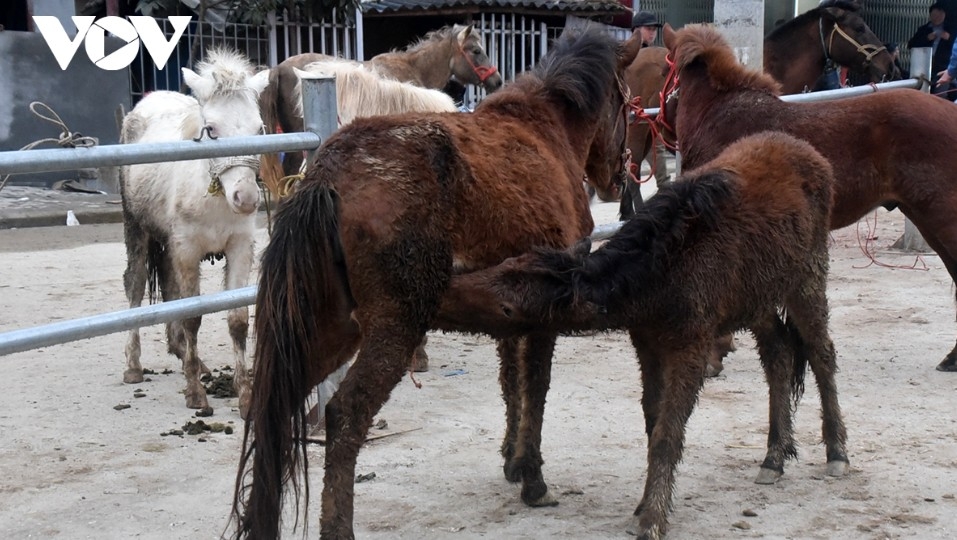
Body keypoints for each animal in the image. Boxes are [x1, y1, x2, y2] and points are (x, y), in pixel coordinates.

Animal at [119, 49, 269, 417]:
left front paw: (244, 396)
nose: (246, 199)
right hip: (137, 228)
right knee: (136, 284)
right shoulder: (186, 248)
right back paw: (134, 365)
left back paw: (190, 358)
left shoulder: (239, 247)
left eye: (259, 128)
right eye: (211, 130)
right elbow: (192, 316)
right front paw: (196, 395)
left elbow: (237, 320)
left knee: (168, 283)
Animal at [439, 131, 846, 540]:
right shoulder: (647, 343)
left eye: (505, 307)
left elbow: (668, 435)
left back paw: (836, 451)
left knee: (821, 353)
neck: (655, 278)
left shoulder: (691, 346)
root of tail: (813, 157)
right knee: (779, 353)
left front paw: (652, 517)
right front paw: (645, 503)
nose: (447, 287)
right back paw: (775, 455)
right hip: (756, 299)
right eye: (505, 263)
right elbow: (653, 422)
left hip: (808, 276)